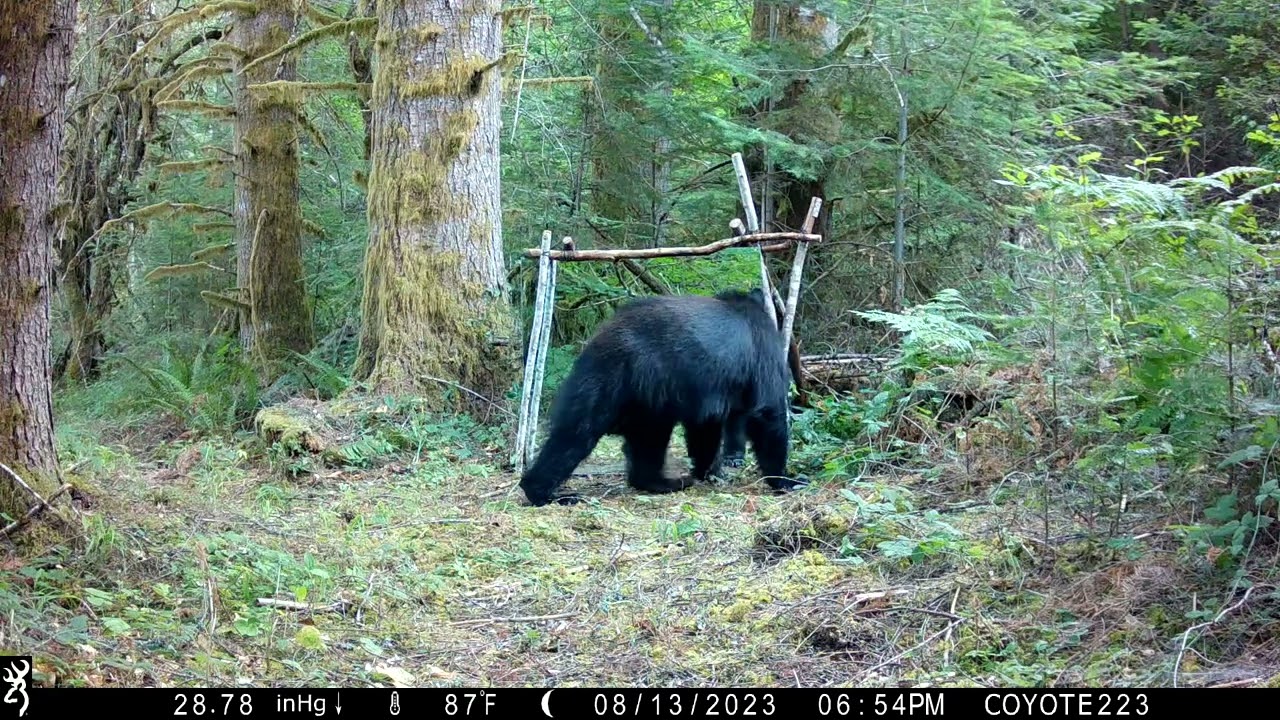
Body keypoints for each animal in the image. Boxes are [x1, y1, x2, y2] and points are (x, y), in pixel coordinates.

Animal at [519, 287, 802, 507]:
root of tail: (603, 337)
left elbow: (704, 428)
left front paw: (707, 470)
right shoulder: (761, 353)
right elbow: (767, 410)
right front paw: (787, 480)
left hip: (626, 390)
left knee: (611, 435)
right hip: (633, 383)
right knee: (590, 433)